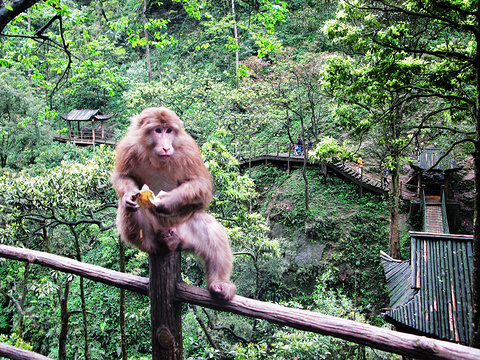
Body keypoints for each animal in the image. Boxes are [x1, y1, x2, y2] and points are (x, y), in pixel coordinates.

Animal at [109, 107, 236, 300]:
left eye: (169, 130)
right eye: (158, 130)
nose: (166, 146)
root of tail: (174, 235)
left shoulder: (188, 149)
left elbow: (201, 185)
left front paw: (167, 201)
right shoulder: (128, 147)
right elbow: (122, 177)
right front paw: (129, 196)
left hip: (185, 227)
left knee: (211, 230)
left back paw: (220, 284)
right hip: (154, 230)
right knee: (131, 212)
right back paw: (160, 244)